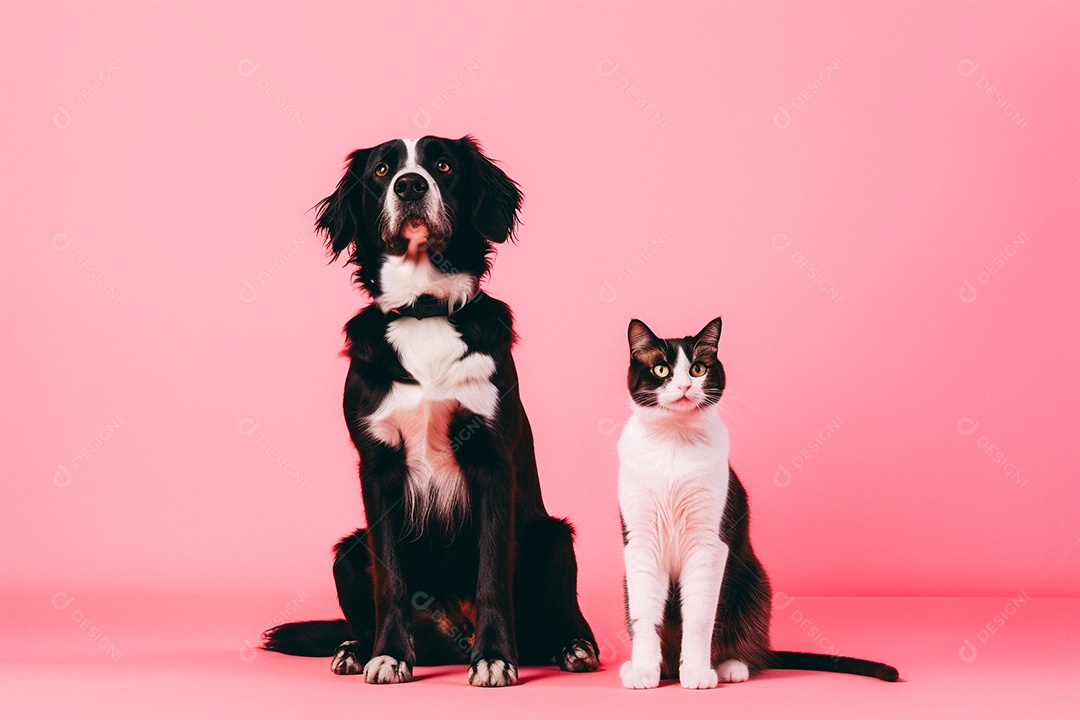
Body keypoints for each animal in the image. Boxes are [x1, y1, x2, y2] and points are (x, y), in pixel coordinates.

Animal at [261, 133, 600, 686]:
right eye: (382, 170)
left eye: (442, 165)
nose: (411, 185)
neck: (424, 310)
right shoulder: (377, 466)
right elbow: (391, 582)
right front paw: (388, 655)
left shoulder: (491, 459)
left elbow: (492, 574)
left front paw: (495, 657)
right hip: (347, 551)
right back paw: (355, 647)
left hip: (554, 538)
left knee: (562, 616)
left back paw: (571, 647)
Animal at [617, 317, 894, 690]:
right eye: (661, 369)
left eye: (698, 368)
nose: (686, 386)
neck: (674, 439)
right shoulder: (640, 542)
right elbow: (645, 613)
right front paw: (644, 670)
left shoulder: (710, 542)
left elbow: (700, 615)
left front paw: (697, 672)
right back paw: (646, 667)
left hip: (755, 582)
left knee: (749, 643)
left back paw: (730, 665)